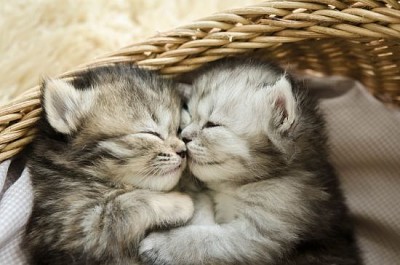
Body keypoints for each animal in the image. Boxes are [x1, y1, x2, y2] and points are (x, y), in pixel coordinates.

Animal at [24, 64, 195, 264]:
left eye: (178, 130)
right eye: (151, 133)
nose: (183, 151)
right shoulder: (69, 229)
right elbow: (122, 206)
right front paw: (180, 202)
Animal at [139, 58, 360, 264]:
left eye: (212, 125)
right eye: (187, 117)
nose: (184, 137)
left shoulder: (268, 228)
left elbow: (207, 241)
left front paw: (160, 245)